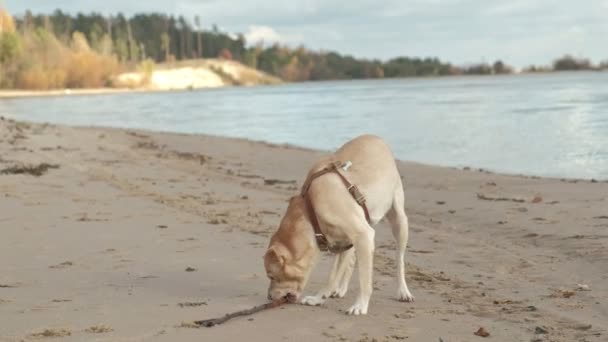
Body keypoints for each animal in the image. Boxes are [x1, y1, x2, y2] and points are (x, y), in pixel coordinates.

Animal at [262, 134, 414, 316]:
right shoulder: (344, 241)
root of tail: (375, 137)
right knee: (351, 261)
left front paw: (360, 305)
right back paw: (340, 289)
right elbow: (333, 277)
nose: (269, 297)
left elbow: (364, 279)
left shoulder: (362, 234)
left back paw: (403, 291)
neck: (311, 210)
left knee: (399, 259)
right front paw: (319, 298)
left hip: (398, 220)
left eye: (271, 276)